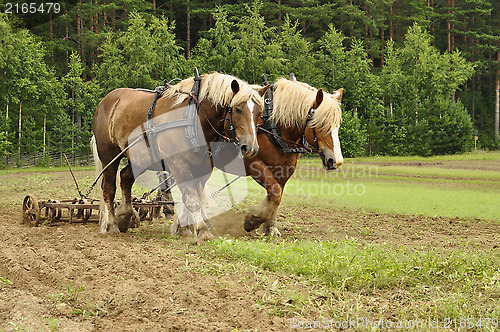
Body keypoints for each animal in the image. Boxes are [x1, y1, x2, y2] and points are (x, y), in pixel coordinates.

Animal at [92, 72, 268, 239]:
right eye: (237, 109)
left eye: (259, 113)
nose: (250, 147)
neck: (193, 117)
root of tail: (107, 100)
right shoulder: (178, 164)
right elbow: (192, 199)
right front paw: (202, 230)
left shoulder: (203, 166)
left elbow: (193, 196)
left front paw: (184, 228)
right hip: (109, 154)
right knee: (109, 188)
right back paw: (112, 224)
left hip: (141, 158)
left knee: (126, 177)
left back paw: (125, 216)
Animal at [213, 76, 346, 236]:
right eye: (321, 124)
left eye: (337, 124)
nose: (337, 161)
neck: (274, 127)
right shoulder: (253, 163)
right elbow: (275, 193)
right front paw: (253, 219)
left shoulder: (285, 169)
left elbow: (276, 196)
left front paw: (270, 227)